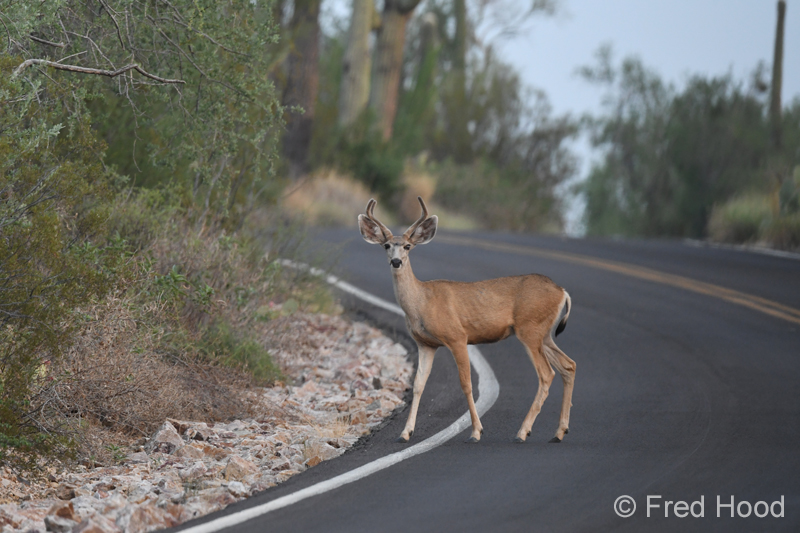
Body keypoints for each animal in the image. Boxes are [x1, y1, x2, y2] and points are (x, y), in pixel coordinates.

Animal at [358, 197, 576, 444]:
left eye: (407, 246)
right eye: (386, 245)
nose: (396, 262)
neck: (422, 302)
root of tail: (562, 292)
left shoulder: (457, 337)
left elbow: (467, 384)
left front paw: (476, 431)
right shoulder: (425, 344)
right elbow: (418, 385)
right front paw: (405, 433)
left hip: (530, 329)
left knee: (547, 374)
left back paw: (523, 432)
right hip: (544, 334)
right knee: (569, 365)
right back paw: (559, 432)